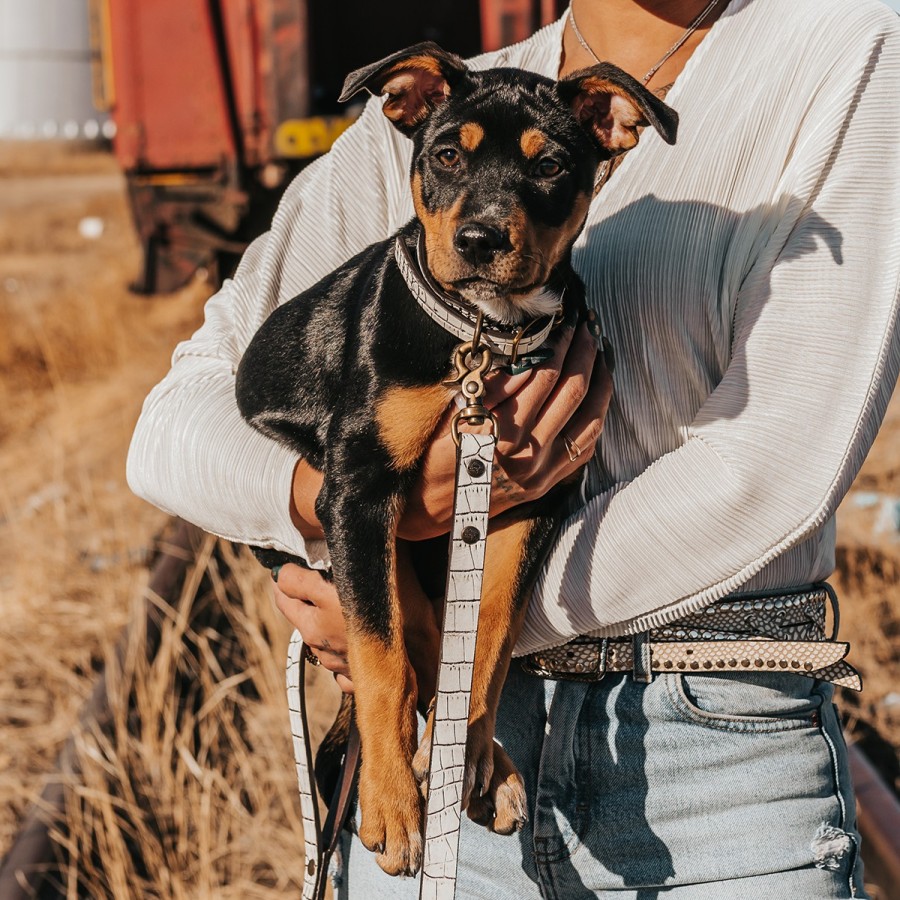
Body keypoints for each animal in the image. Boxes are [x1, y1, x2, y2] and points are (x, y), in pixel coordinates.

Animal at [236, 45, 672, 876]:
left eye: (550, 166)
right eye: (446, 155)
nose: (479, 240)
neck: (484, 336)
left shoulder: (531, 501)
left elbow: (489, 635)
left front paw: (463, 757)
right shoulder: (357, 491)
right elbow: (379, 657)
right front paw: (392, 806)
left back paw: (481, 763)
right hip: (328, 540)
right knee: (400, 639)